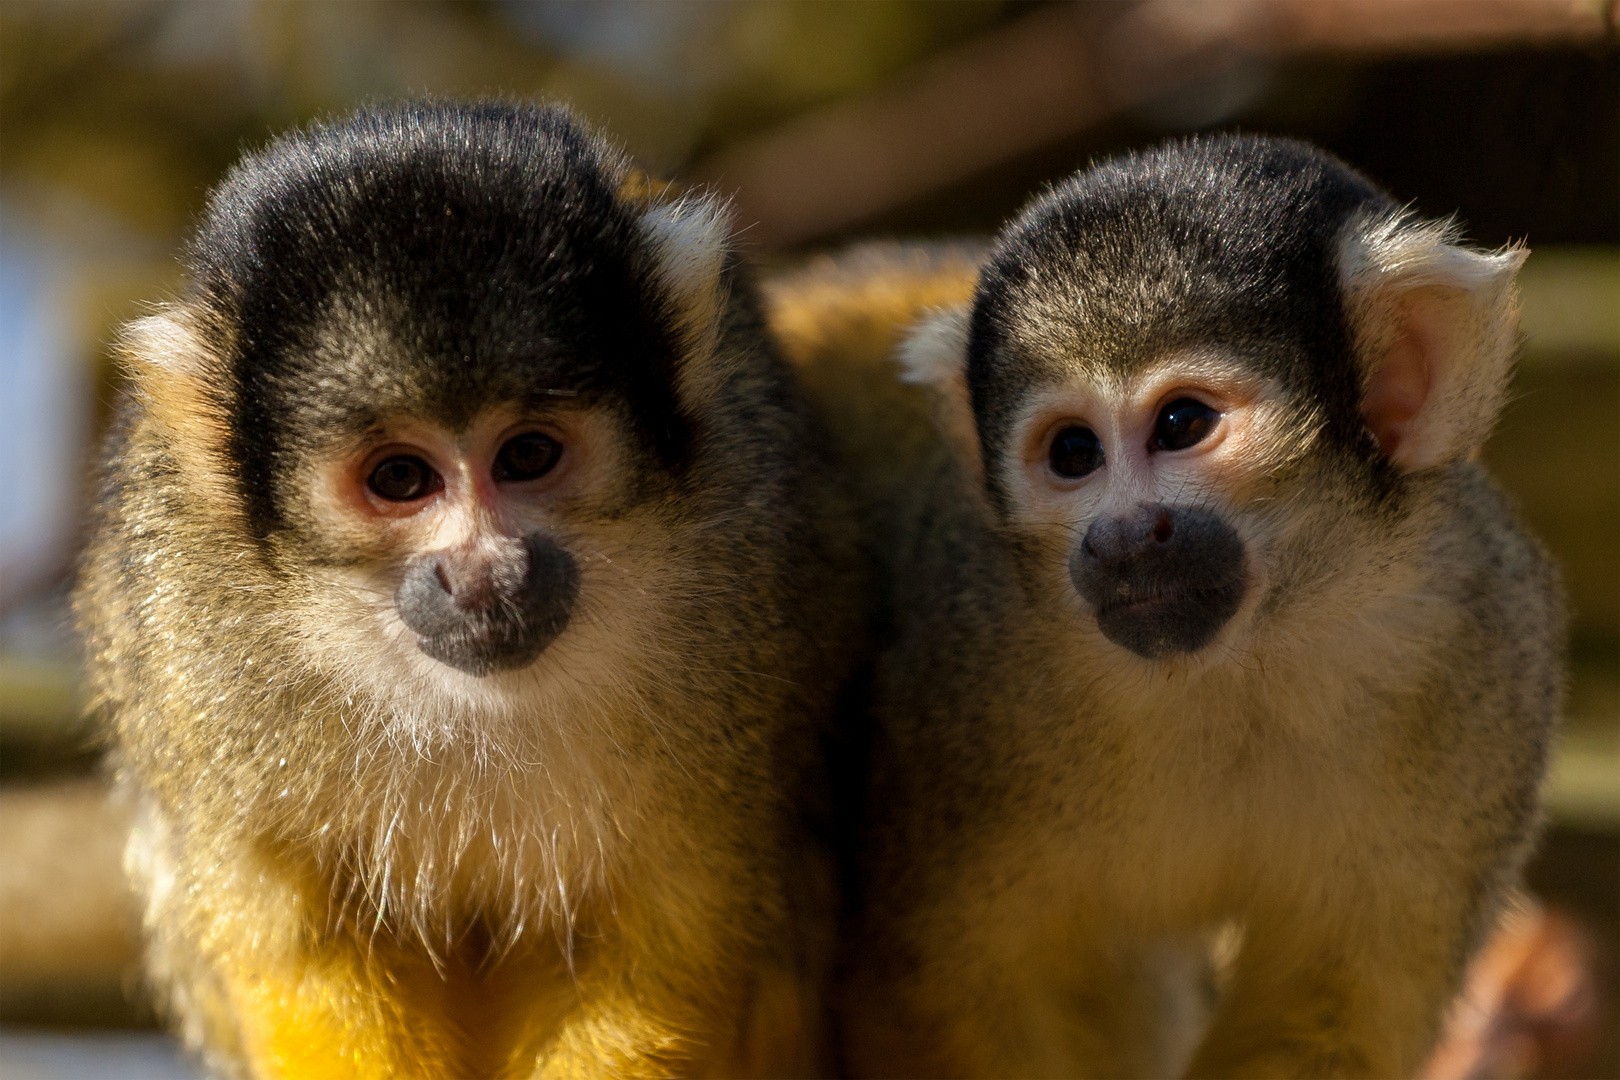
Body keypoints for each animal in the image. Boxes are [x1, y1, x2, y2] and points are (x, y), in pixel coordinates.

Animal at [76, 101, 861, 1080]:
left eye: (527, 455)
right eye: (401, 479)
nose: (485, 574)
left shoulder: (754, 571)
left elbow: (664, 945)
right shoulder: (186, 624)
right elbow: (299, 950)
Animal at [777, 139, 1561, 1075]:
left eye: (1182, 424)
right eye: (1073, 453)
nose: (1120, 537)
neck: (1244, 657)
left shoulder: (1484, 646)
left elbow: (1330, 1012)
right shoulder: (961, 658)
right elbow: (932, 985)